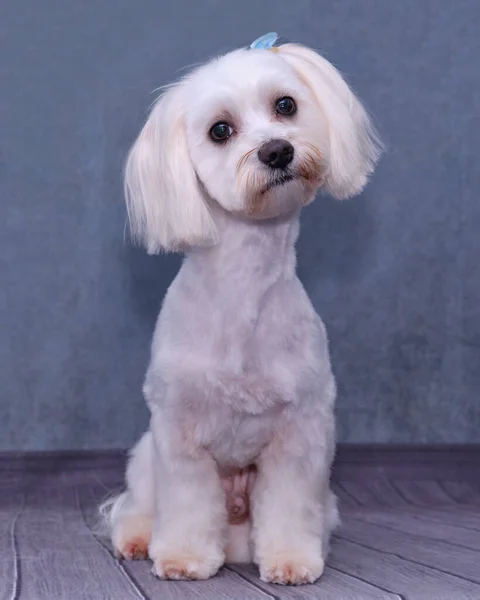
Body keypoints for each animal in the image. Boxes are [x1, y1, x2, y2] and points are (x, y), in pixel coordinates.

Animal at [102, 35, 382, 584]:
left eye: (286, 106)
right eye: (220, 130)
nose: (277, 149)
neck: (243, 285)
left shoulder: (302, 433)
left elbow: (290, 505)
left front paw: (292, 560)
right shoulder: (178, 435)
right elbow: (186, 504)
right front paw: (184, 558)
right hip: (145, 457)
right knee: (137, 506)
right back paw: (137, 539)